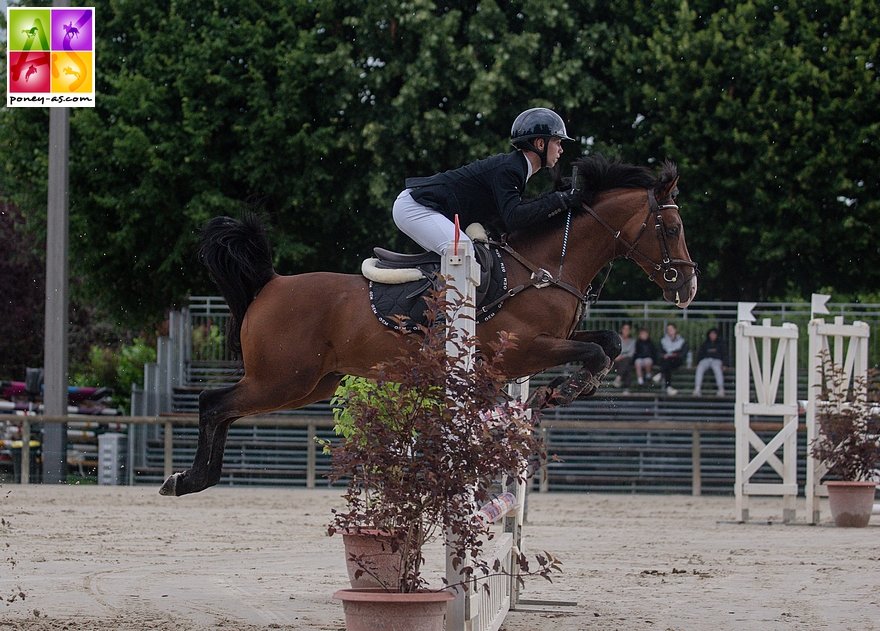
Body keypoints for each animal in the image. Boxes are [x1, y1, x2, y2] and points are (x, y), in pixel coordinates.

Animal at [156, 154, 696, 498]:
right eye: (671, 228)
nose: (688, 288)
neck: (544, 267)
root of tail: (269, 284)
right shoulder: (526, 349)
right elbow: (596, 352)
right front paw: (565, 388)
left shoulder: (551, 341)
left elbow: (609, 341)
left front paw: (570, 388)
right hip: (281, 379)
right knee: (212, 402)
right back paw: (187, 480)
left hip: (308, 383)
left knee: (224, 410)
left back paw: (193, 478)